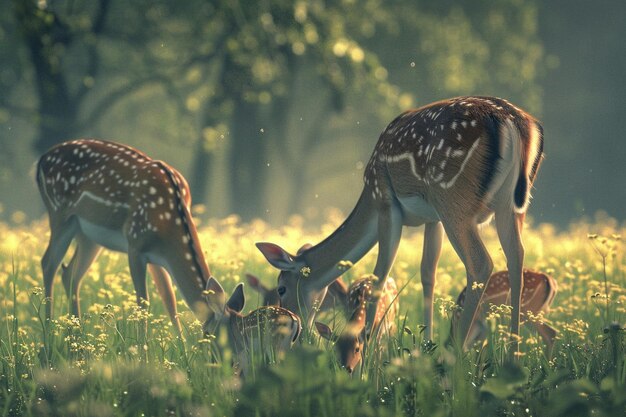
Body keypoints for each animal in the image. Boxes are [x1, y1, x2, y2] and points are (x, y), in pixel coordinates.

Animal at [258, 96, 540, 350]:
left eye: (281, 288)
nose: (294, 323)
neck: (368, 200)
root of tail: (513, 122)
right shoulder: (432, 218)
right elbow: (428, 273)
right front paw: (426, 343)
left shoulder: (385, 200)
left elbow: (380, 276)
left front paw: (368, 351)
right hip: (511, 205)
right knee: (517, 257)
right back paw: (513, 353)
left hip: (453, 198)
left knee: (481, 263)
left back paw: (458, 356)